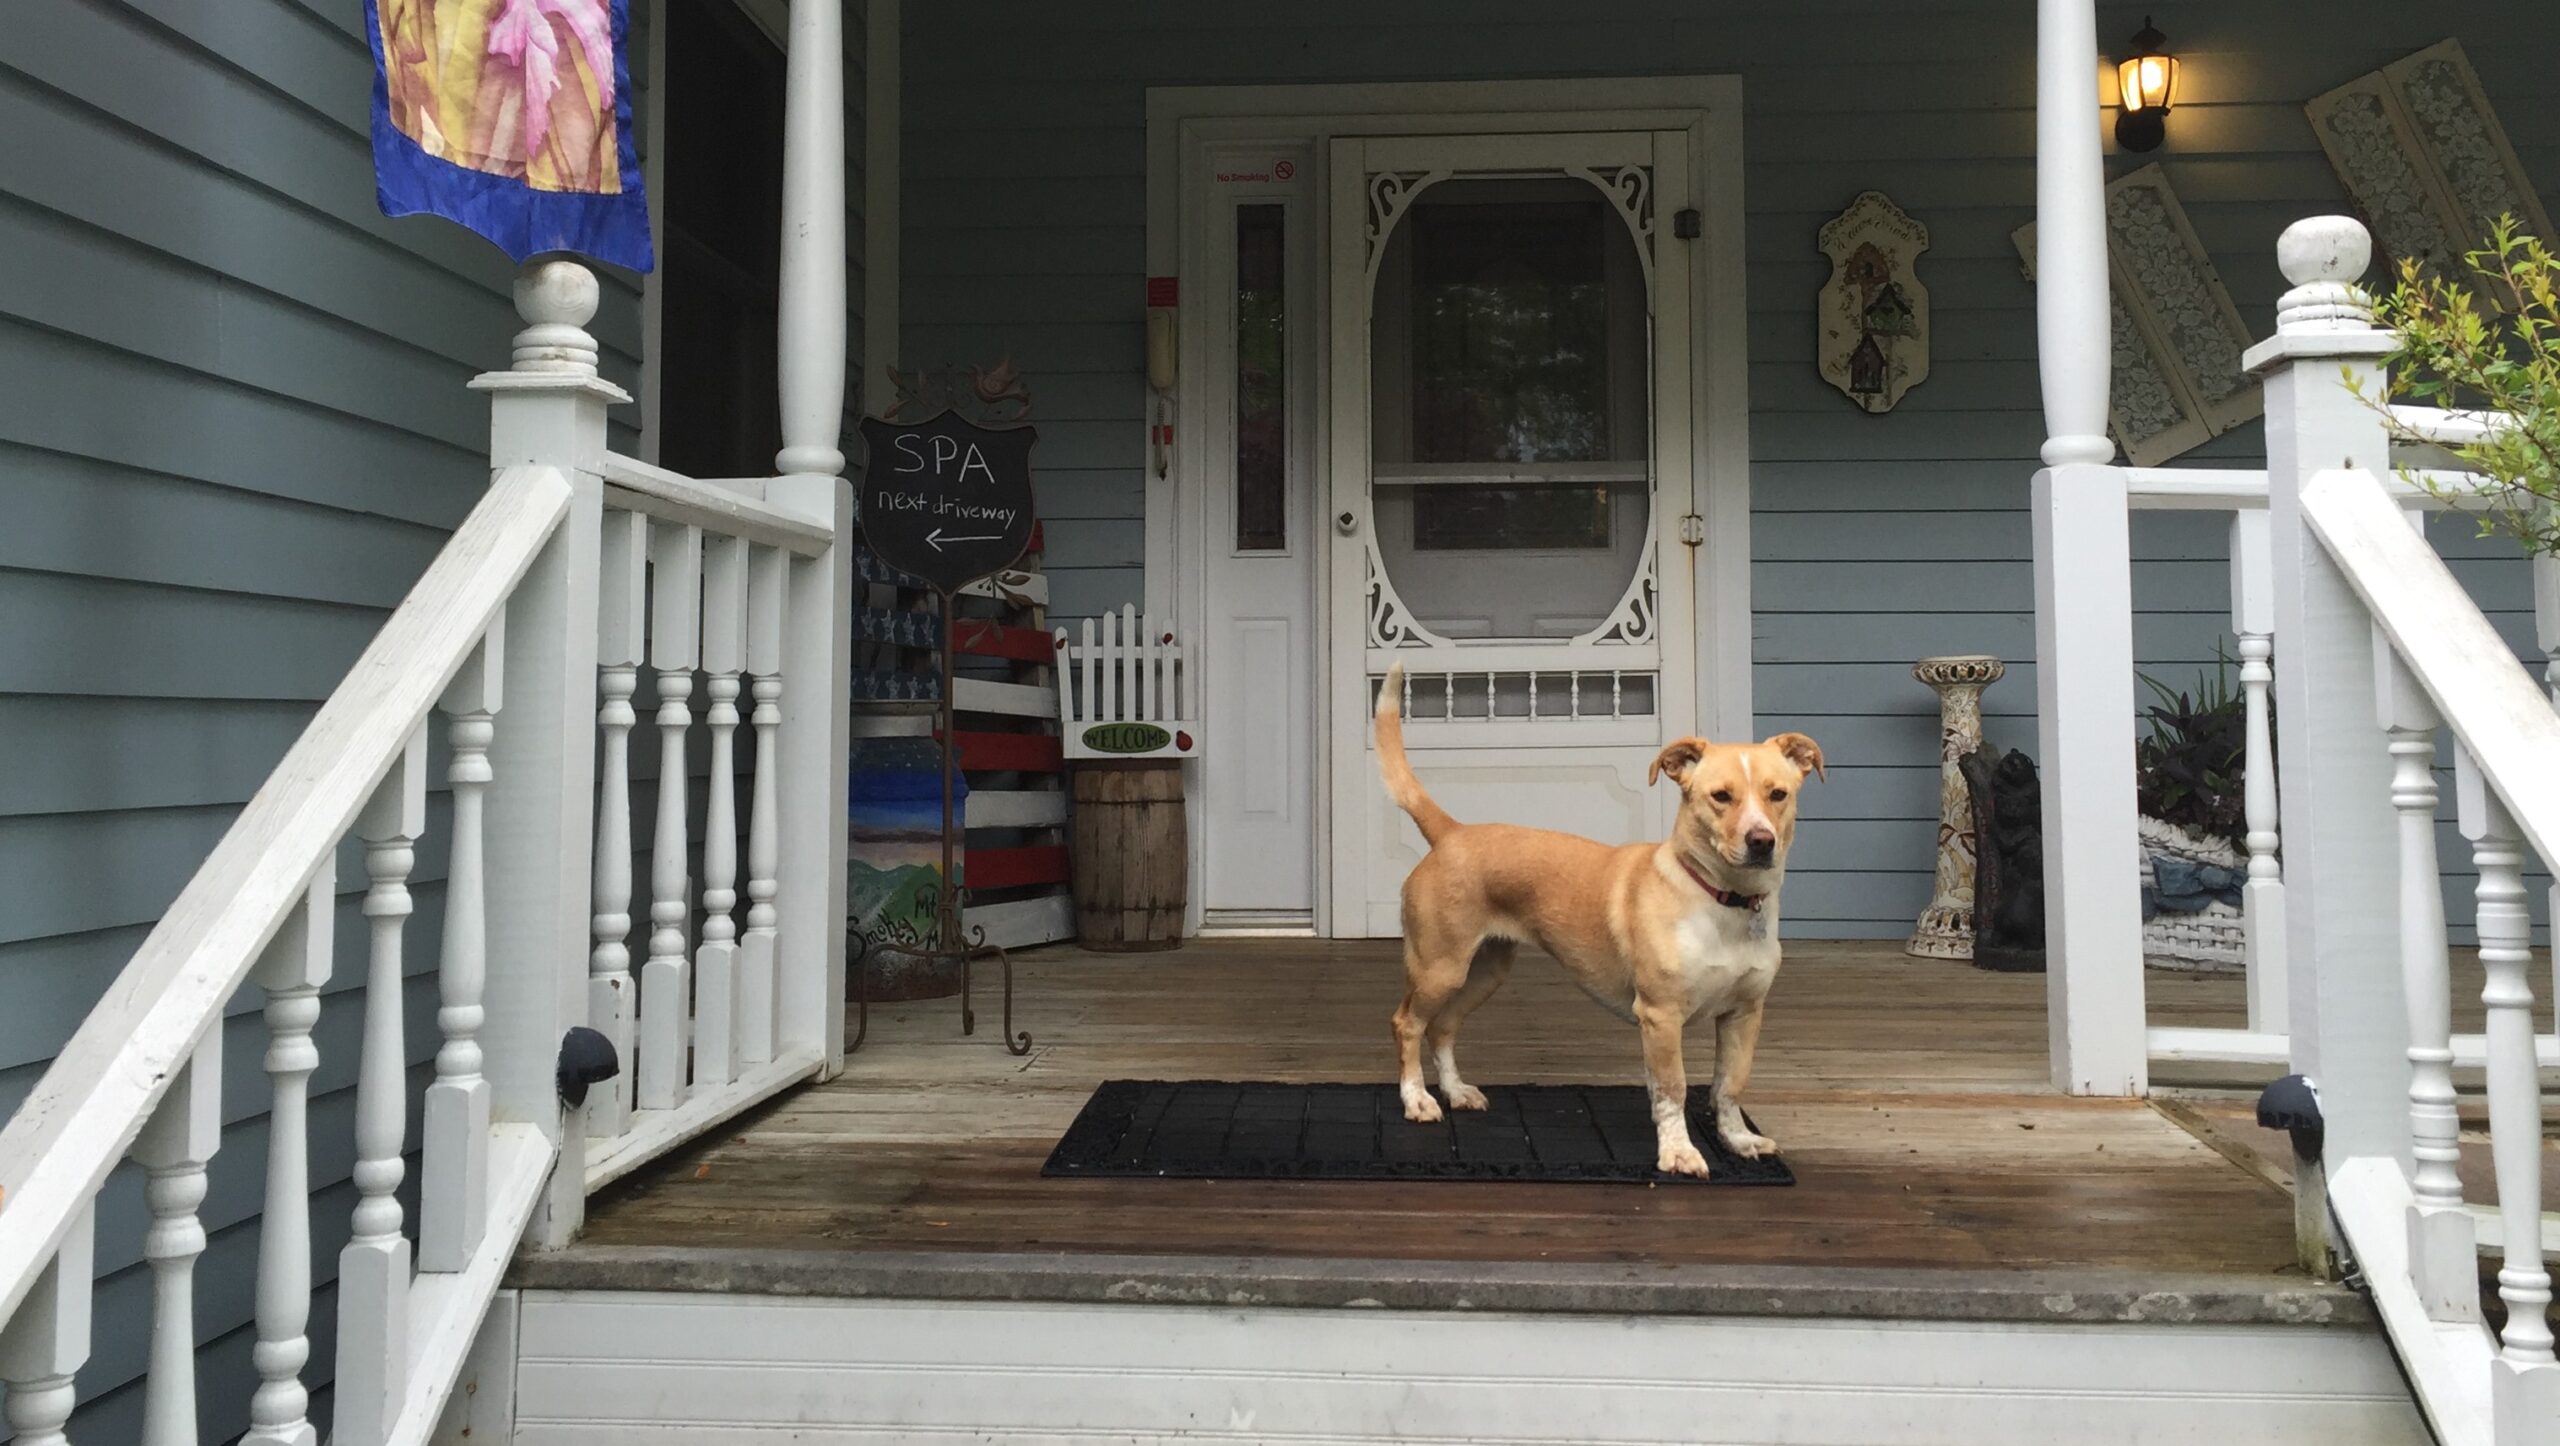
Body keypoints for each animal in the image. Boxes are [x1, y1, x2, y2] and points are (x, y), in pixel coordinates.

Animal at [1382, 660, 1822, 1172]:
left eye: (1778, 794)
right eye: (1720, 796)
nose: (1761, 841)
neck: (1720, 899)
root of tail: (1452, 833)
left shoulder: (1744, 1013)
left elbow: (1730, 1085)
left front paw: (1737, 1139)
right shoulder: (1660, 1015)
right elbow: (1672, 1088)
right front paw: (1678, 1152)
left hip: (1484, 971)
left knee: (1443, 1027)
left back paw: (1455, 1091)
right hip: (1439, 968)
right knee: (1408, 1023)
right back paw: (1416, 1100)